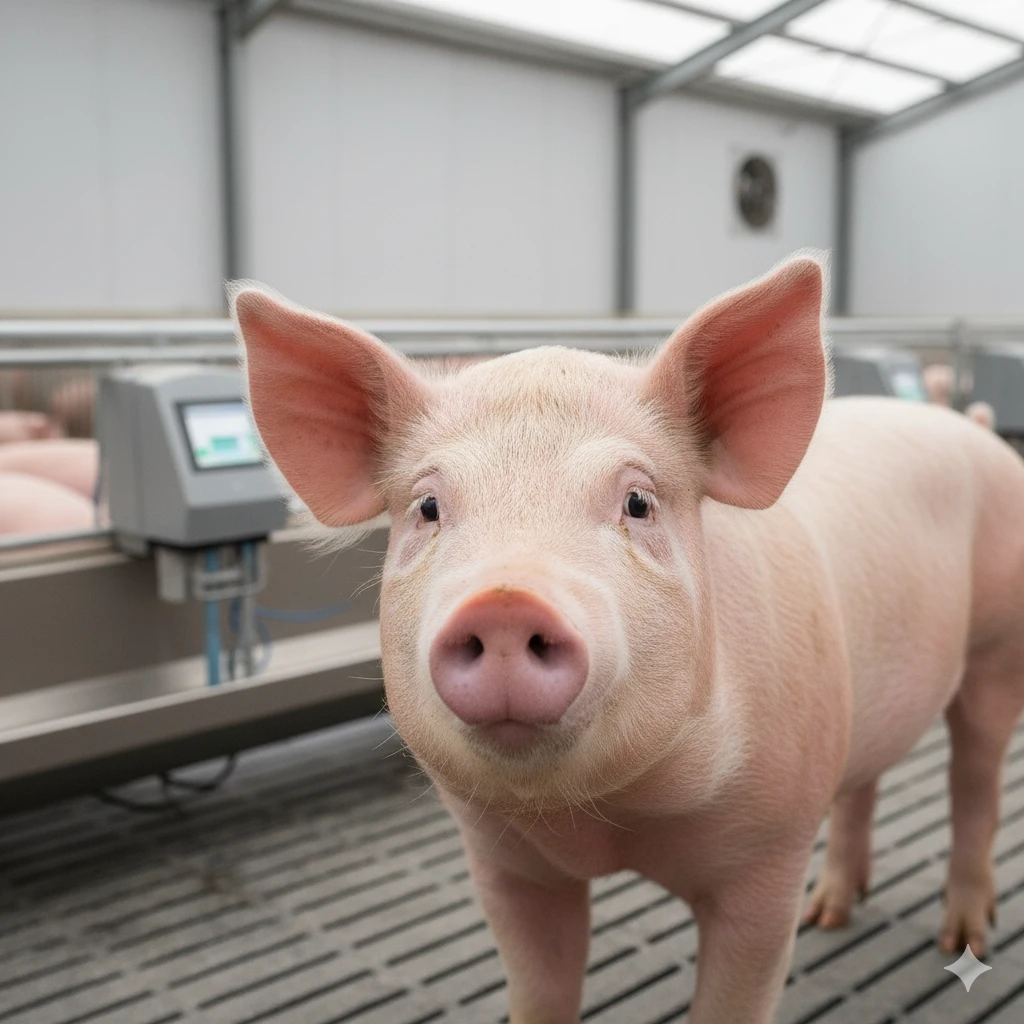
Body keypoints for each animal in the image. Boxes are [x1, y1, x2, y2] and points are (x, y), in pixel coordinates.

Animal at [231, 258, 1024, 1024]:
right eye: (427, 507)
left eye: (638, 502)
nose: (505, 601)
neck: (608, 822)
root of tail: (972, 424)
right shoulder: (506, 867)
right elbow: (541, 989)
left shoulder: (769, 856)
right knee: (866, 779)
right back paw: (829, 915)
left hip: (995, 645)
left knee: (975, 781)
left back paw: (961, 938)